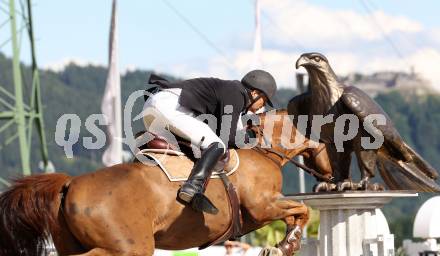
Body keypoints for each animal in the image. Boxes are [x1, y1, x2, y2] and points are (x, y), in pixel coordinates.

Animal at [0, 109, 332, 255]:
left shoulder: (264, 211)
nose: (329, 178)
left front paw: (284, 243)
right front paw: (287, 245)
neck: (264, 150)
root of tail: (70, 184)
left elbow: (298, 213)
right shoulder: (263, 206)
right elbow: (302, 210)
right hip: (128, 248)